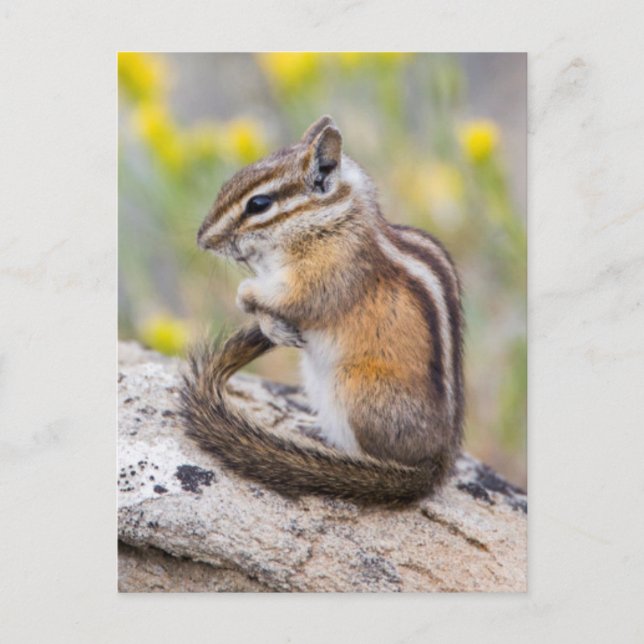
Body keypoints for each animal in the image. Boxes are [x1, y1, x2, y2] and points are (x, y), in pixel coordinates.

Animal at [180, 115, 464, 506]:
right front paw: (271, 326)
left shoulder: (324, 277)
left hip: (353, 387)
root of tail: (437, 465)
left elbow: (289, 298)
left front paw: (247, 295)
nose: (202, 239)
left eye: (259, 204)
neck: (330, 220)